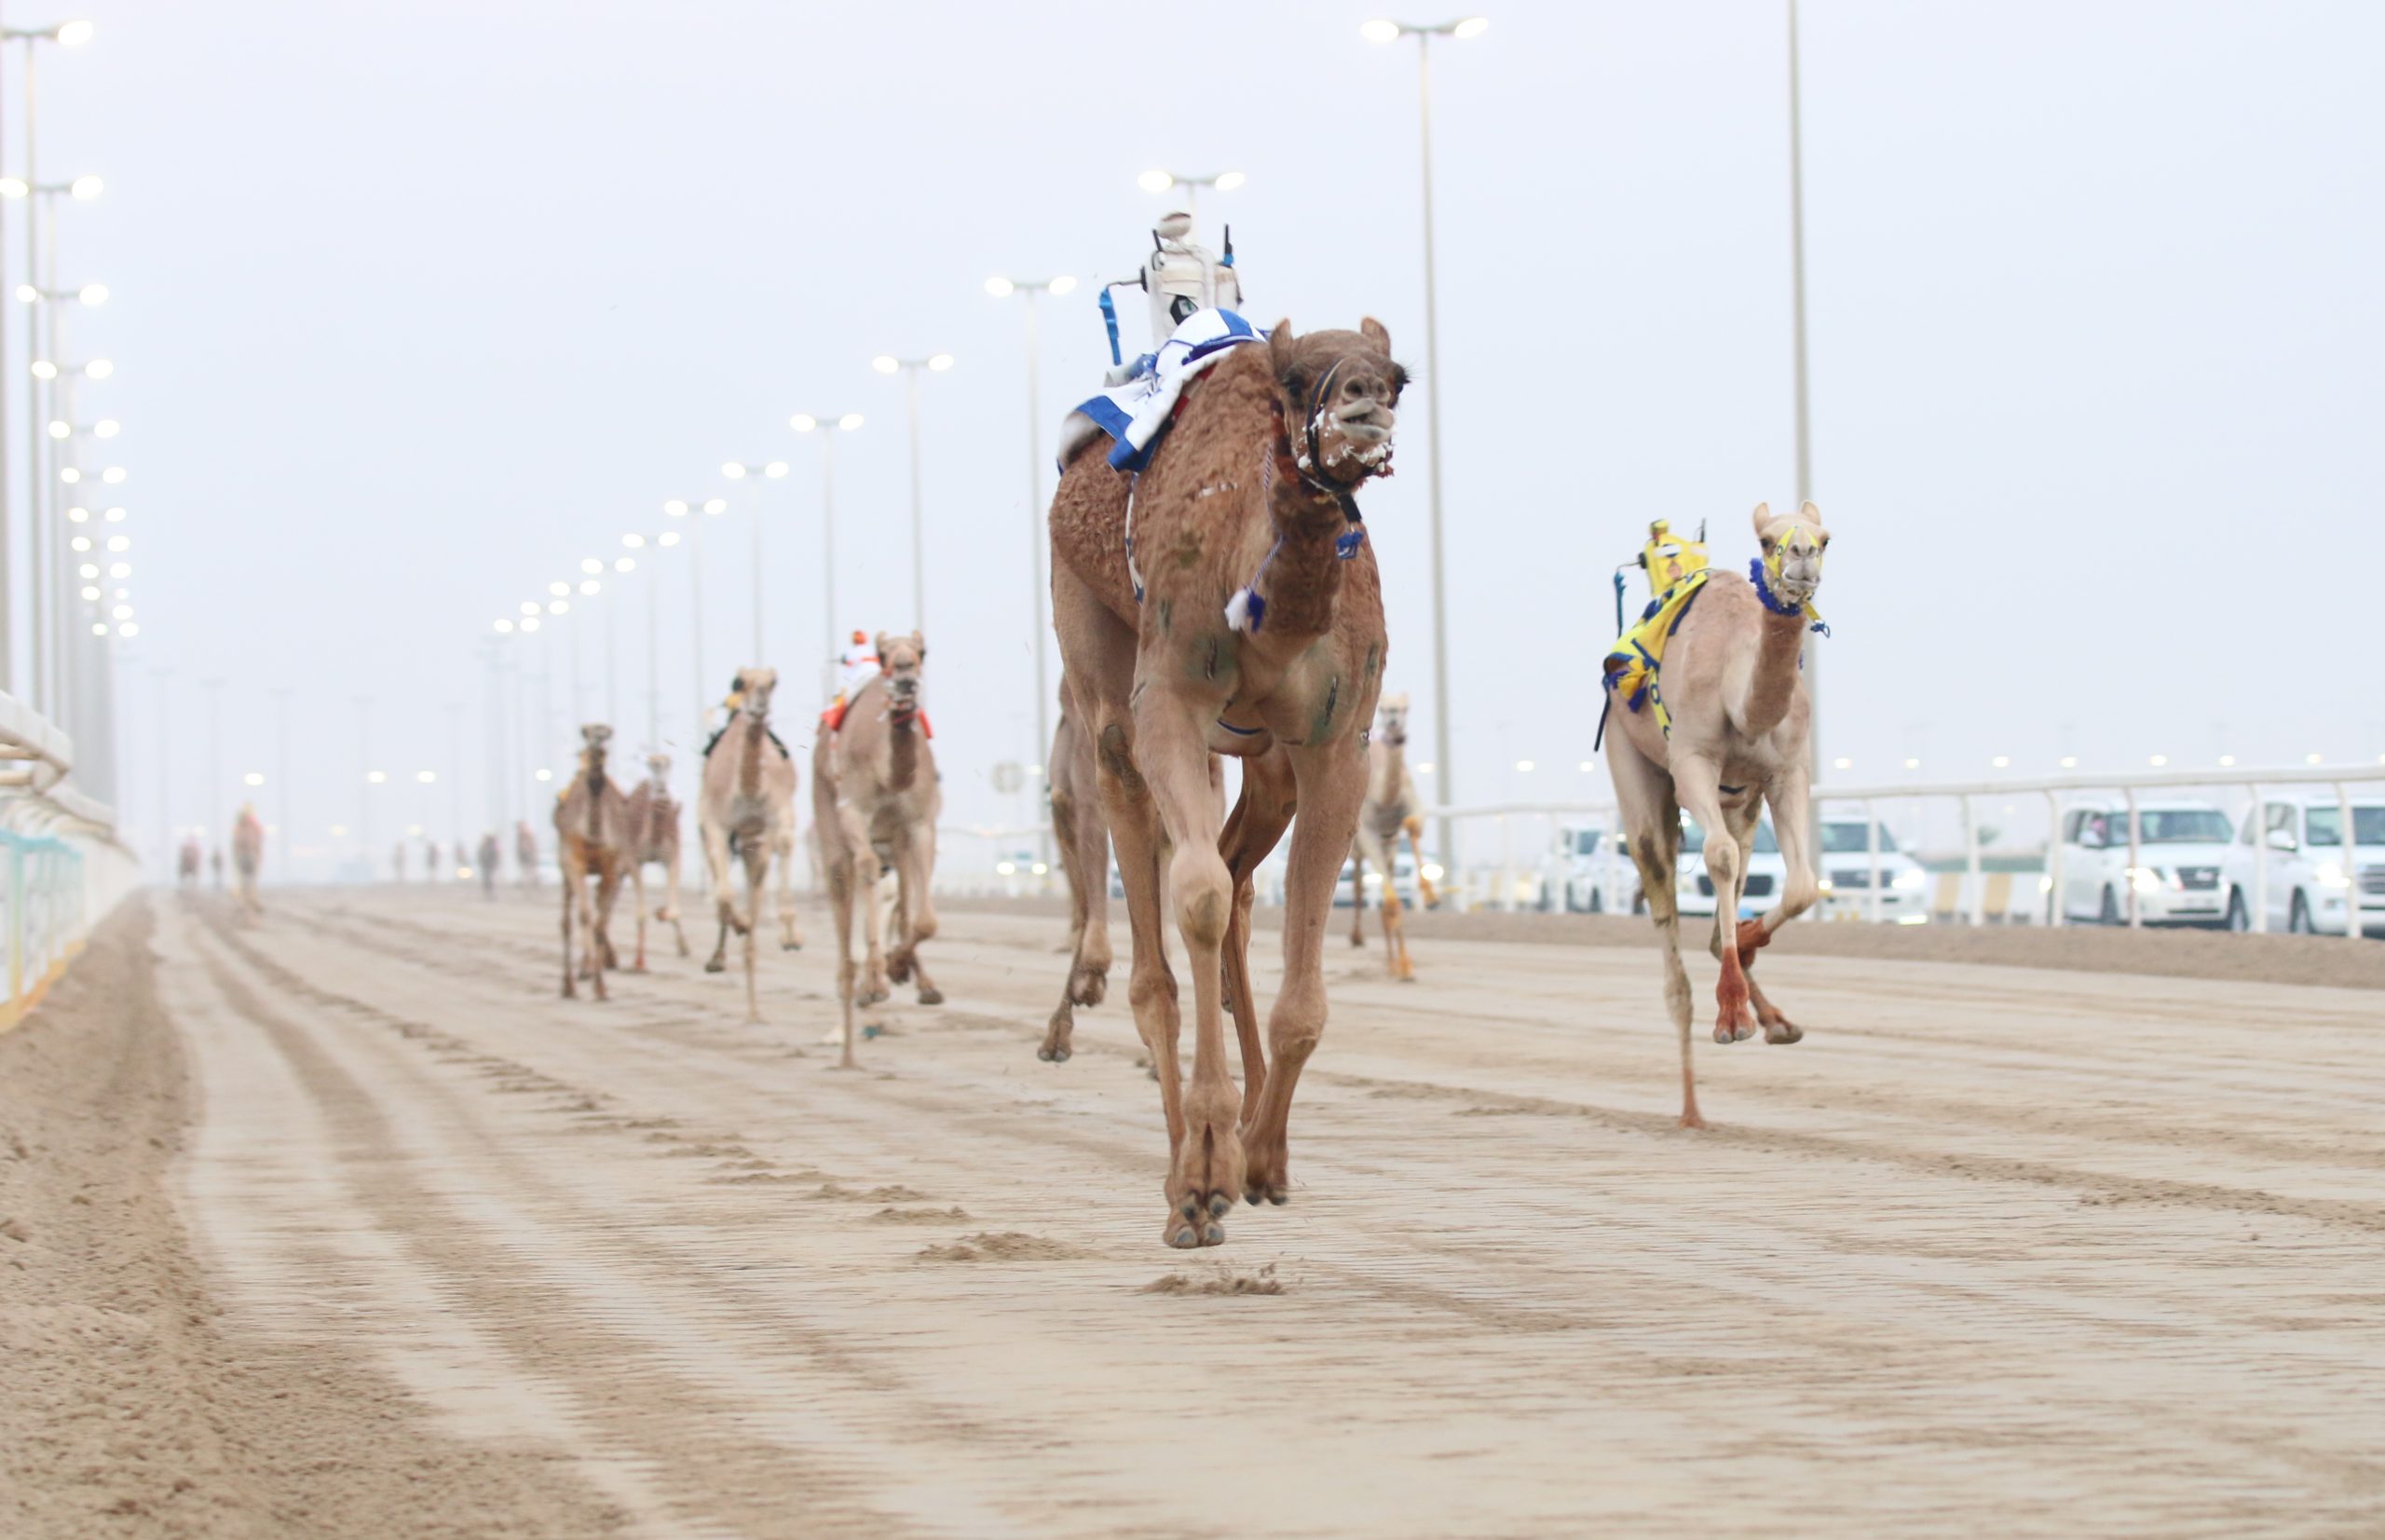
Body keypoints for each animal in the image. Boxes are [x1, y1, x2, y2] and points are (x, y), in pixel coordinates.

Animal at [620, 753, 687, 973]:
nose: (662, 789)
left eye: (668, 763)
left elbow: (674, 911)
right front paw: (639, 962)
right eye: (651, 764)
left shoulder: (673, 857)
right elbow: (641, 914)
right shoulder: (634, 860)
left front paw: (661, 912)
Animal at [811, 634, 939, 1068]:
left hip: (896, 843)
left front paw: (900, 969)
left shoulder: (919, 825)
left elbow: (924, 921)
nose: (904, 676)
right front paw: (876, 984)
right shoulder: (854, 811)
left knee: (901, 898)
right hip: (828, 823)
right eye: (884, 656)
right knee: (844, 891)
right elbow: (866, 867)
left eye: (921, 651)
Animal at [1054, 317, 1402, 1259]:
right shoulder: (1171, 696)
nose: (1364, 403)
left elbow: (1304, 996)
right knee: (1164, 930)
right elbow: (1198, 896)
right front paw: (1206, 1176)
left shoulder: (1339, 741)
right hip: (1095, 651)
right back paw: (1186, 1187)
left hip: (1267, 760)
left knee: (1244, 880)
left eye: (1399, 376)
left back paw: (1250, 1145)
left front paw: (1259, 1159)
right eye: (1296, 380)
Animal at [1344, 696, 1431, 982]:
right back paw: (1357, 938)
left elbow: (1413, 824)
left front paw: (1430, 893)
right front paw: (1402, 966)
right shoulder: (1367, 833)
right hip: (1358, 846)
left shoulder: (1408, 812)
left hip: (1388, 846)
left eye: (1405, 708)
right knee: (1359, 885)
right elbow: (1392, 902)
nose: (1394, 723)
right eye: (1383, 709)